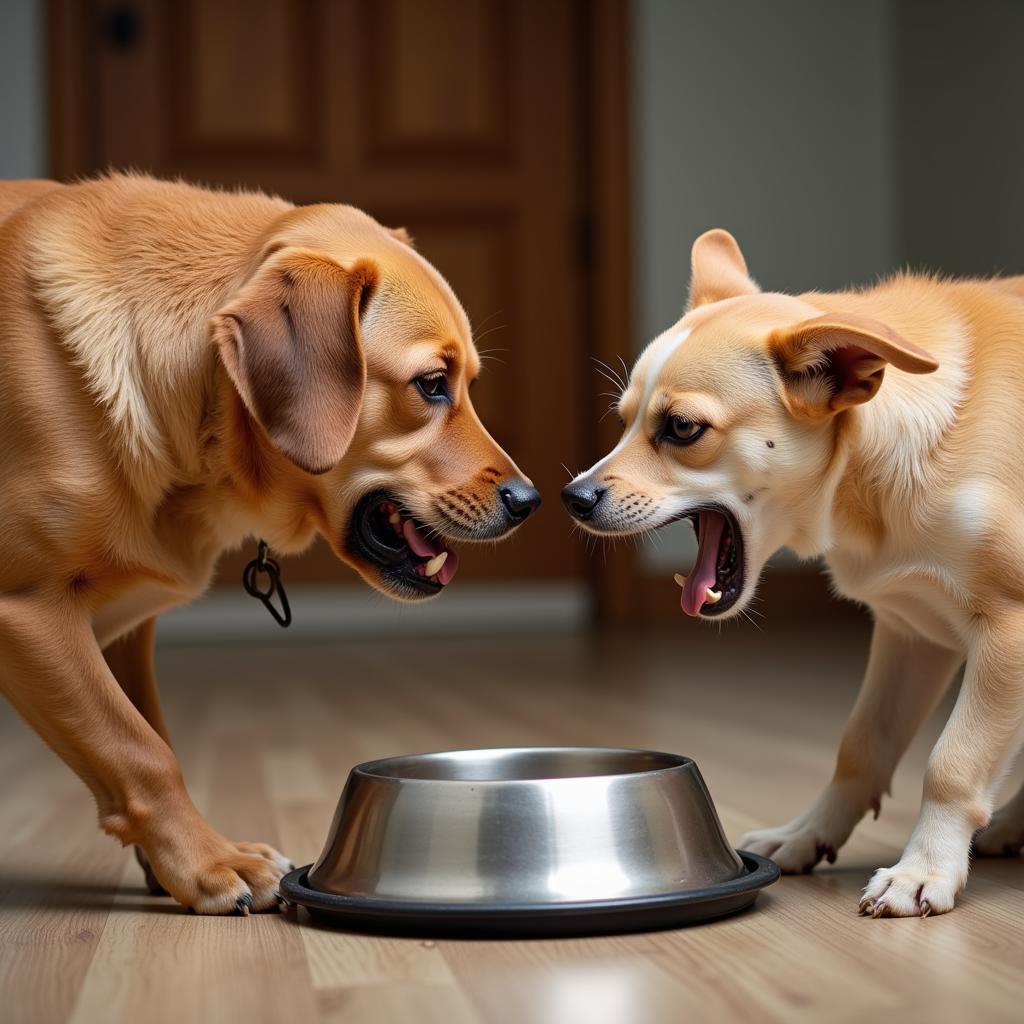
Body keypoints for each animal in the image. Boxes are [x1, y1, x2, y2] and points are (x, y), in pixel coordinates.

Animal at [0, 174, 540, 913]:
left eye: (469, 386)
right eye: (432, 385)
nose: (530, 501)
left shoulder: (123, 634)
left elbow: (145, 738)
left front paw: (178, 859)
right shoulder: (29, 612)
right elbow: (140, 751)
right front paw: (207, 863)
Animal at [565, 232, 1024, 921]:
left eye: (681, 428)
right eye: (622, 422)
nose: (573, 498)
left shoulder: (1006, 633)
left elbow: (952, 764)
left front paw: (923, 870)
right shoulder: (911, 635)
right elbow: (861, 746)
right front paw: (808, 833)